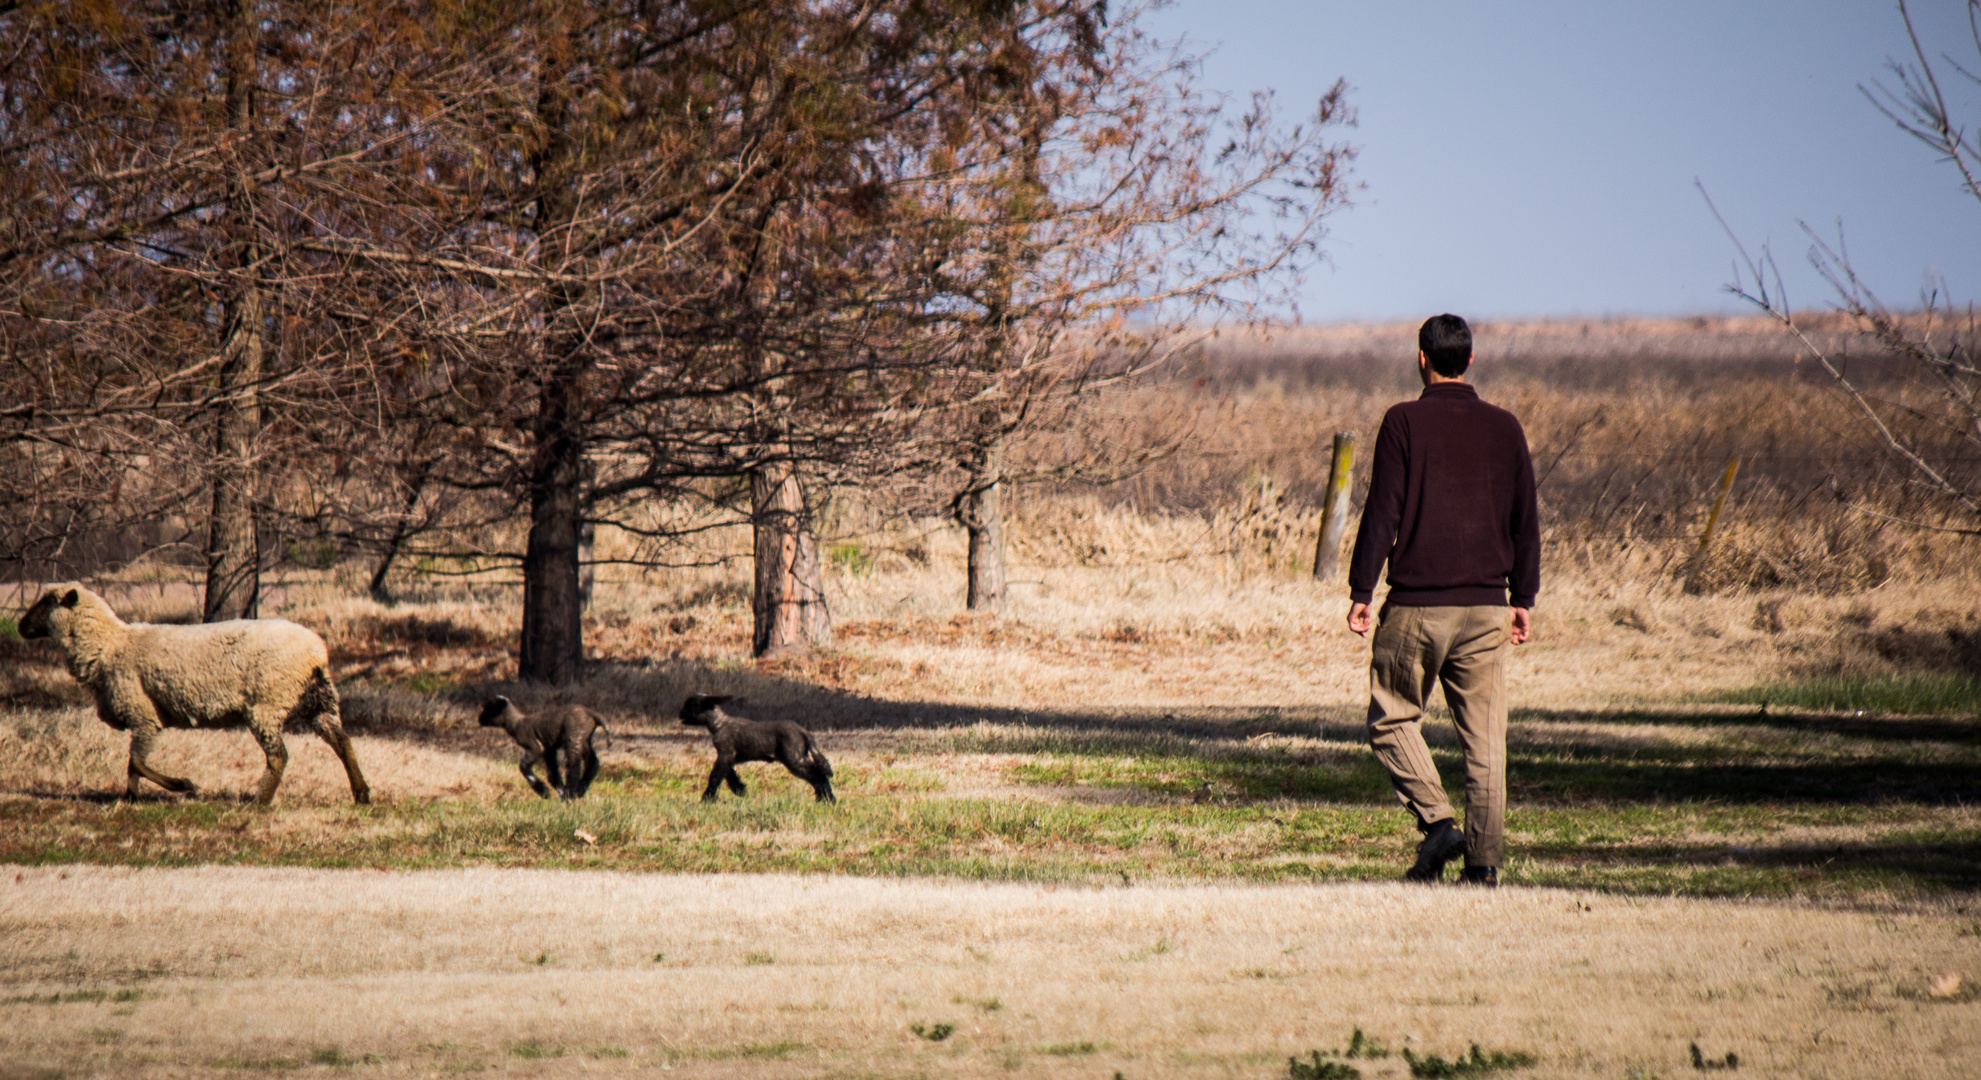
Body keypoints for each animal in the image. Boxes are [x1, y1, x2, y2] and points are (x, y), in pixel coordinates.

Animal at [18, 582, 372, 800]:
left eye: (48, 602)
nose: (21, 626)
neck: (108, 645)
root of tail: (317, 652)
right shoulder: (142, 719)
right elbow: (133, 766)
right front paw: (131, 799)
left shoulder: (143, 714)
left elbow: (137, 762)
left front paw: (182, 785)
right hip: (316, 701)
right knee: (341, 742)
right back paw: (361, 793)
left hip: (267, 704)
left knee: (279, 755)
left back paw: (259, 801)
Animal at [681, 689, 835, 800]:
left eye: (690, 705)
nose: (680, 713)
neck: (720, 724)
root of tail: (803, 731)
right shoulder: (728, 757)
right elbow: (730, 775)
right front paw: (740, 790)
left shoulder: (725, 754)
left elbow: (715, 776)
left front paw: (707, 798)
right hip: (801, 756)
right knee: (818, 775)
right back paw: (824, 799)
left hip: (794, 759)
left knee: (818, 775)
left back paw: (828, 800)